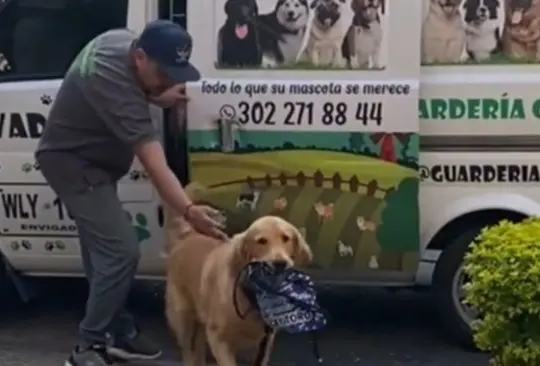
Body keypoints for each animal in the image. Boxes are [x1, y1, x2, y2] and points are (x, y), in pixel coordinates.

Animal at [167, 209, 314, 366]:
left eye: (286, 238)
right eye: (261, 241)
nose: (280, 264)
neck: (251, 296)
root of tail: (187, 236)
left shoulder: (264, 344)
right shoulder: (218, 338)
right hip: (184, 320)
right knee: (188, 350)